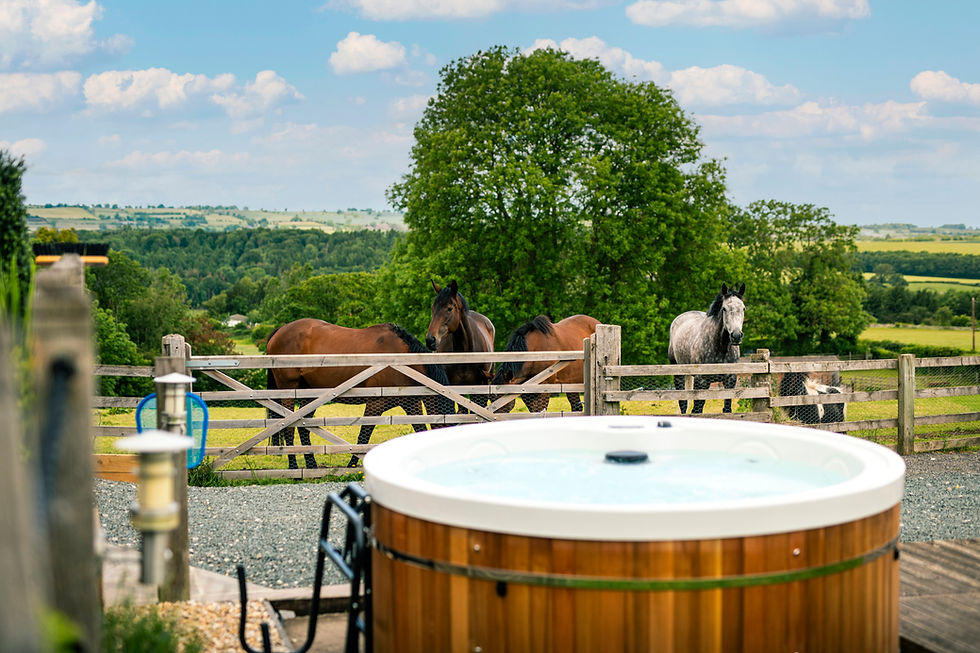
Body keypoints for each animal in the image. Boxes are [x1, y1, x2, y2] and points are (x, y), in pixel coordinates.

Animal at [265, 318, 454, 469]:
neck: (400, 358)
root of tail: (280, 330)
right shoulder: (375, 404)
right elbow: (364, 435)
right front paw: (352, 465)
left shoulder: (411, 404)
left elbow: (419, 429)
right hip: (289, 392)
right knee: (288, 428)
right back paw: (294, 467)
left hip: (309, 396)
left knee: (304, 428)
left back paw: (311, 465)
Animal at [667, 283, 745, 414]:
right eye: (724, 309)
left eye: (743, 308)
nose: (736, 336)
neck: (720, 349)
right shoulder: (701, 381)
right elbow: (697, 409)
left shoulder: (730, 381)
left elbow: (727, 409)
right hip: (678, 373)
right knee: (683, 403)